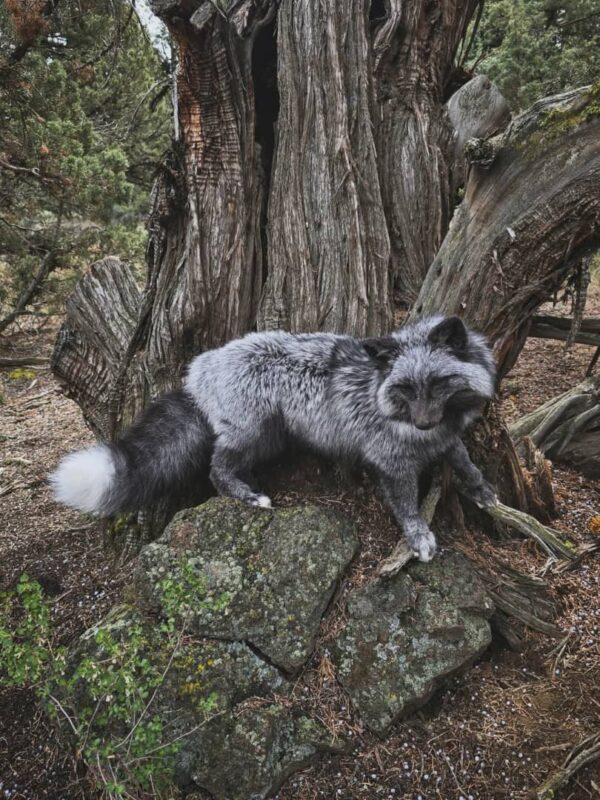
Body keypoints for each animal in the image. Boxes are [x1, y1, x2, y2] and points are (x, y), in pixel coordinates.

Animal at [50, 315, 497, 561]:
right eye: (405, 388)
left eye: (438, 383)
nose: (422, 425)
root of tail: (201, 367)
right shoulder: (391, 463)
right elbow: (407, 507)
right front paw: (418, 537)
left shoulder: (447, 440)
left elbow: (465, 463)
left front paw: (482, 491)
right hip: (250, 432)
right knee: (216, 470)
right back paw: (247, 496)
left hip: (268, 439)